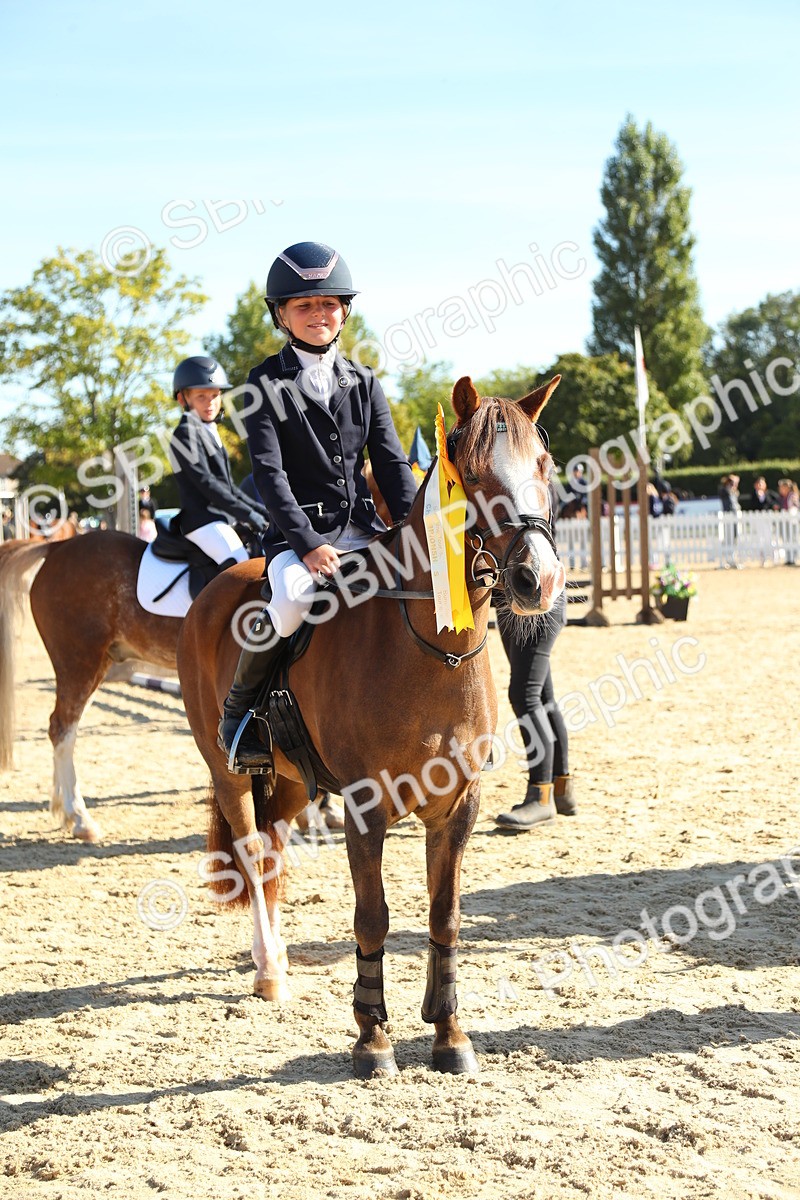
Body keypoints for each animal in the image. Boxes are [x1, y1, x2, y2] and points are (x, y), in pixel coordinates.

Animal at [177, 374, 564, 1077]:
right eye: (472, 475)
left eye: (544, 465)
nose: (537, 580)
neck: (430, 646)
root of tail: (219, 586)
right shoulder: (365, 805)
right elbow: (372, 918)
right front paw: (372, 1040)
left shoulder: (458, 805)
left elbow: (445, 916)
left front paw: (450, 1036)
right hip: (229, 772)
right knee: (250, 852)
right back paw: (270, 972)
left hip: (292, 782)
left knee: (272, 856)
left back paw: (272, 965)